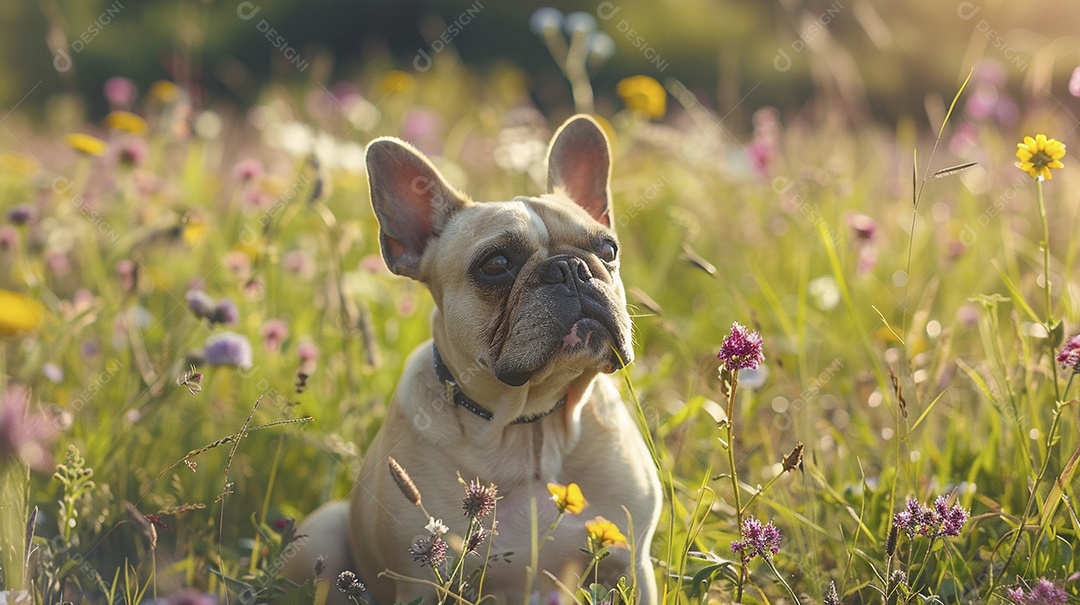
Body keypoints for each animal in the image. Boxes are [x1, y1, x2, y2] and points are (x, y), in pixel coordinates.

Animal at [282, 115, 660, 605]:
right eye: (496, 264)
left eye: (608, 250)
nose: (572, 269)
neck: (528, 430)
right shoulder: (422, 581)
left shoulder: (631, 566)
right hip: (322, 534)